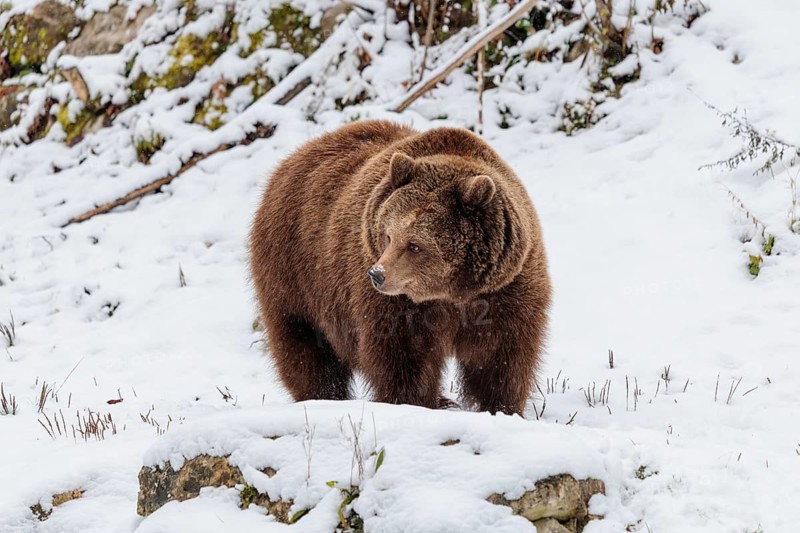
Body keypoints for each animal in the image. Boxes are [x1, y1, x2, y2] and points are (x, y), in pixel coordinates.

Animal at [249, 120, 551, 415]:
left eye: (415, 245)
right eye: (388, 235)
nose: (377, 275)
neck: (451, 292)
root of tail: (294, 157)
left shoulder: (504, 288)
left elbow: (501, 354)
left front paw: (502, 406)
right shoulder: (396, 306)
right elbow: (404, 356)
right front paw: (413, 402)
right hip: (296, 272)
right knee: (304, 343)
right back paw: (323, 395)